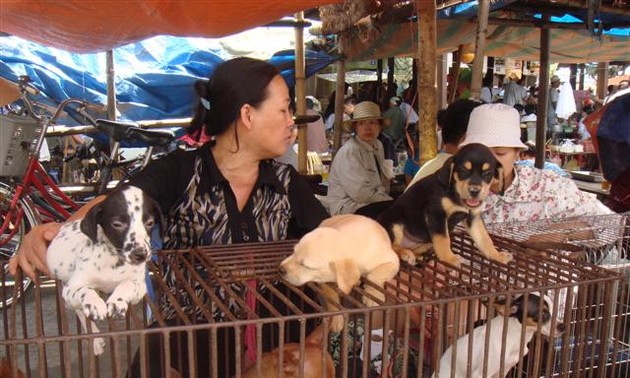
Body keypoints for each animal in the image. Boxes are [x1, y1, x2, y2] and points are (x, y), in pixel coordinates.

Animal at [48, 185, 164, 354]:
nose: (140, 255)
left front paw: (117, 302)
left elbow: (126, 284)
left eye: (149, 223)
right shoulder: (72, 287)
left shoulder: (139, 286)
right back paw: (95, 338)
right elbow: (85, 291)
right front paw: (94, 304)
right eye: (117, 224)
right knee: (78, 310)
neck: (114, 259)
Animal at [378, 143, 516, 268]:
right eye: (463, 171)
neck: (456, 196)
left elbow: (485, 239)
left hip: (425, 242)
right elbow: (444, 240)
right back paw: (405, 254)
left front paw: (497, 255)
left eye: (487, 173)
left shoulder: (473, 217)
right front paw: (449, 258)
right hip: (394, 223)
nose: (474, 191)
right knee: (390, 247)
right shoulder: (436, 214)